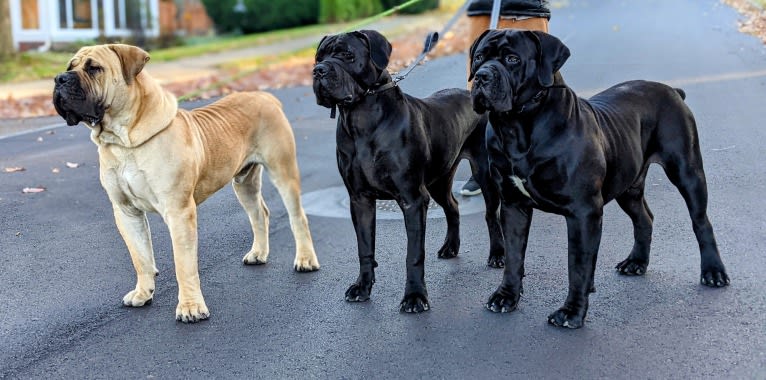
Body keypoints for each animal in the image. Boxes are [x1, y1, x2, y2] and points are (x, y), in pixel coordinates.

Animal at [51, 44, 320, 324]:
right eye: (70, 66)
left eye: (94, 68)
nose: (59, 79)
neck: (124, 141)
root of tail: (267, 97)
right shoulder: (126, 212)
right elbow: (140, 257)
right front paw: (143, 292)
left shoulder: (178, 211)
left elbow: (183, 263)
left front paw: (190, 307)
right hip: (244, 181)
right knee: (259, 213)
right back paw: (258, 254)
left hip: (283, 171)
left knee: (297, 216)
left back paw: (305, 259)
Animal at [468, 29, 732, 328]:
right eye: (479, 57)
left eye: (512, 59)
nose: (482, 76)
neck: (516, 127)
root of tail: (672, 90)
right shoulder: (513, 206)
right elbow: (513, 256)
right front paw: (506, 296)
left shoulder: (583, 212)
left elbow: (578, 265)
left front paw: (571, 311)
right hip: (628, 185)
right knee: (644, 218)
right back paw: (636, 262)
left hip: (688, 172)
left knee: (701, 221)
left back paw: (713, 271)